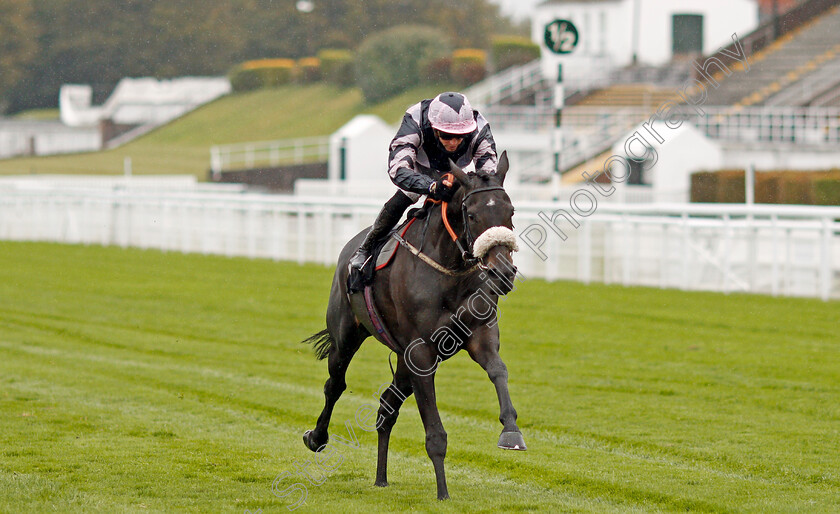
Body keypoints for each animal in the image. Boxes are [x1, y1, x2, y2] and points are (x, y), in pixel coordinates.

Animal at [302, 150, 524, 498]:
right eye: (472, 214)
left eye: (510, 211)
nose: (503, 272)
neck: (450, 271)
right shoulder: (421, 351)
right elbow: (434, 432)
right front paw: (443, 493)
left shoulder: (477, 335)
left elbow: (498, 370)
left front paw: (511, 430)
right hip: (347, 334)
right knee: (335, 384)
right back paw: (317, 438)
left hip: (406, 359)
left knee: (386, 405)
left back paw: (381, 477)